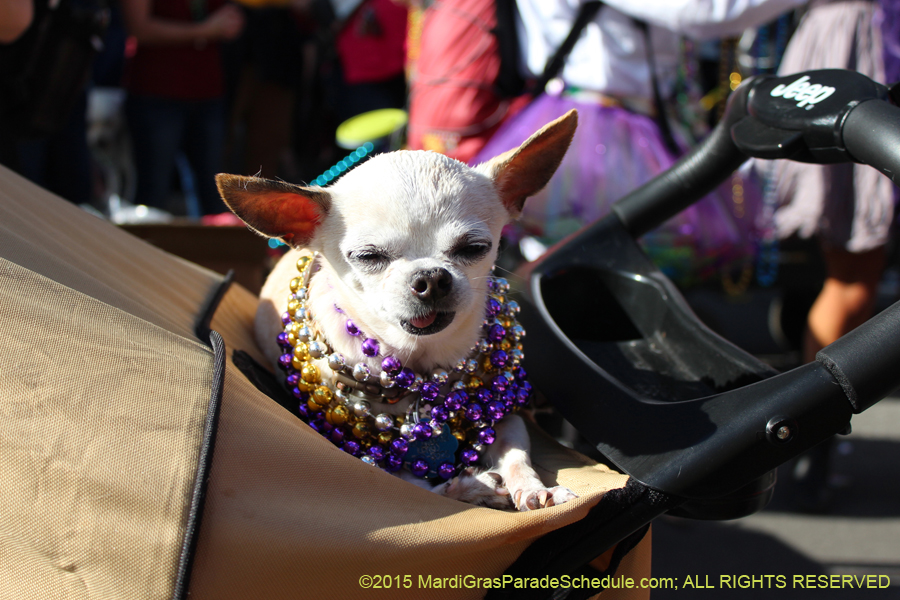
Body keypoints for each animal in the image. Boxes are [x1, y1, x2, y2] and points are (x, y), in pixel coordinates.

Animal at [219, 109, 584, 510]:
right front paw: (470, 487)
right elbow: (411, 481)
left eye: (475, 248)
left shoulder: (509, 417)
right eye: (368, 256)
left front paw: (536, 488)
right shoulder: (355, 452)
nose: (432, 277)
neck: (421, 365)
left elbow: (516, 451)